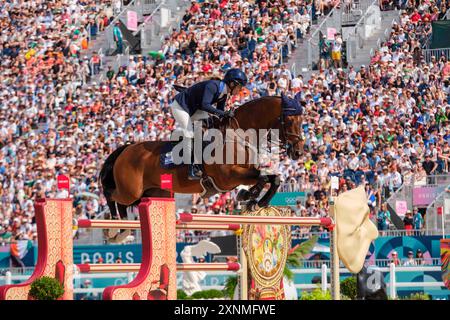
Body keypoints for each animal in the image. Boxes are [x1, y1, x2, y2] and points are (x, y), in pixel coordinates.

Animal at [100, 94, 304, 241]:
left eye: (302, 121)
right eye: (290, 120)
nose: (298, 152)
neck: (239, 136)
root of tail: (126, 148)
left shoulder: (241, 175)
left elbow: (272, 178)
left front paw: (254, 199)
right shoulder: (228, 177)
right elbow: (264, 177)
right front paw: (251, 196)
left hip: (154, 192)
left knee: (122, 203)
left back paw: (123, 231)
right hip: (131, 191)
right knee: (111, 195)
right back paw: (114, 228)